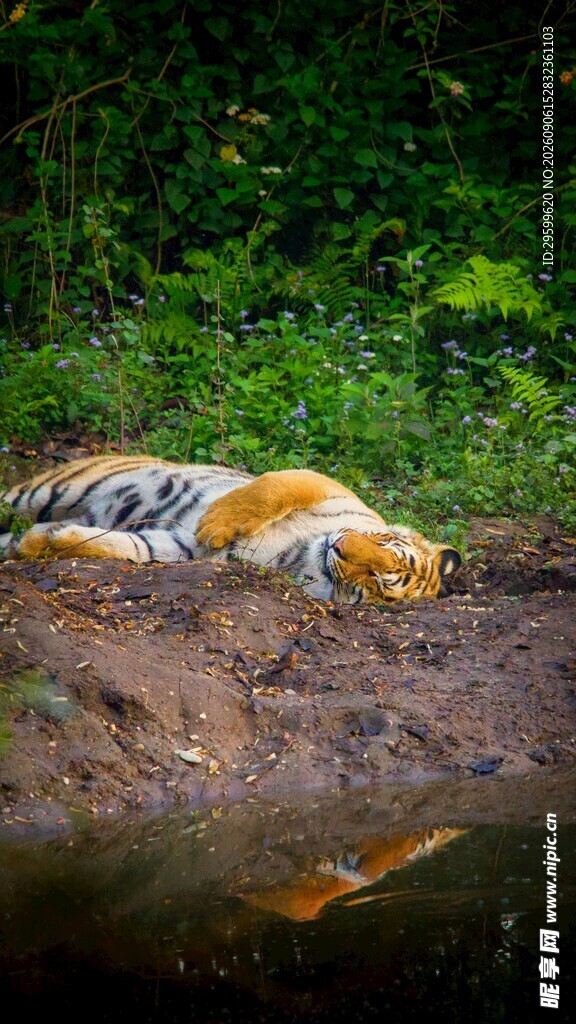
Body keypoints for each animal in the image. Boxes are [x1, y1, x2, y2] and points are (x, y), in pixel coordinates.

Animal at [0, 455, 461, 604]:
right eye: (381, 540)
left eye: (376, 580)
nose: (342, 545)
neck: (305, 555)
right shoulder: (325, 486)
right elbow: (271, 488)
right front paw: (215, 521)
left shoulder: (181, 548)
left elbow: (124, 548)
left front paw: (38, 544)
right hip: (47, 490)